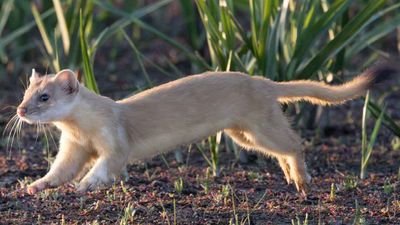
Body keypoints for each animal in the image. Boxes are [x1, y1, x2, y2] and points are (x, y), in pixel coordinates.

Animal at [15, 66, 394, 195]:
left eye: (44, 97)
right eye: (25, 92)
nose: (19, 110)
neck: (85, 131)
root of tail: (263, 81)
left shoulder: (114, 137)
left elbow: (109, 163)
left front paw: (86, 183)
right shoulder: (73, 145)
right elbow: (60, 170)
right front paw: (34, 185)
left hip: (261, 124)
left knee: (295, 143)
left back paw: (302, 179)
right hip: (242, 134)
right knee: (281, 150)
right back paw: (289, 176)